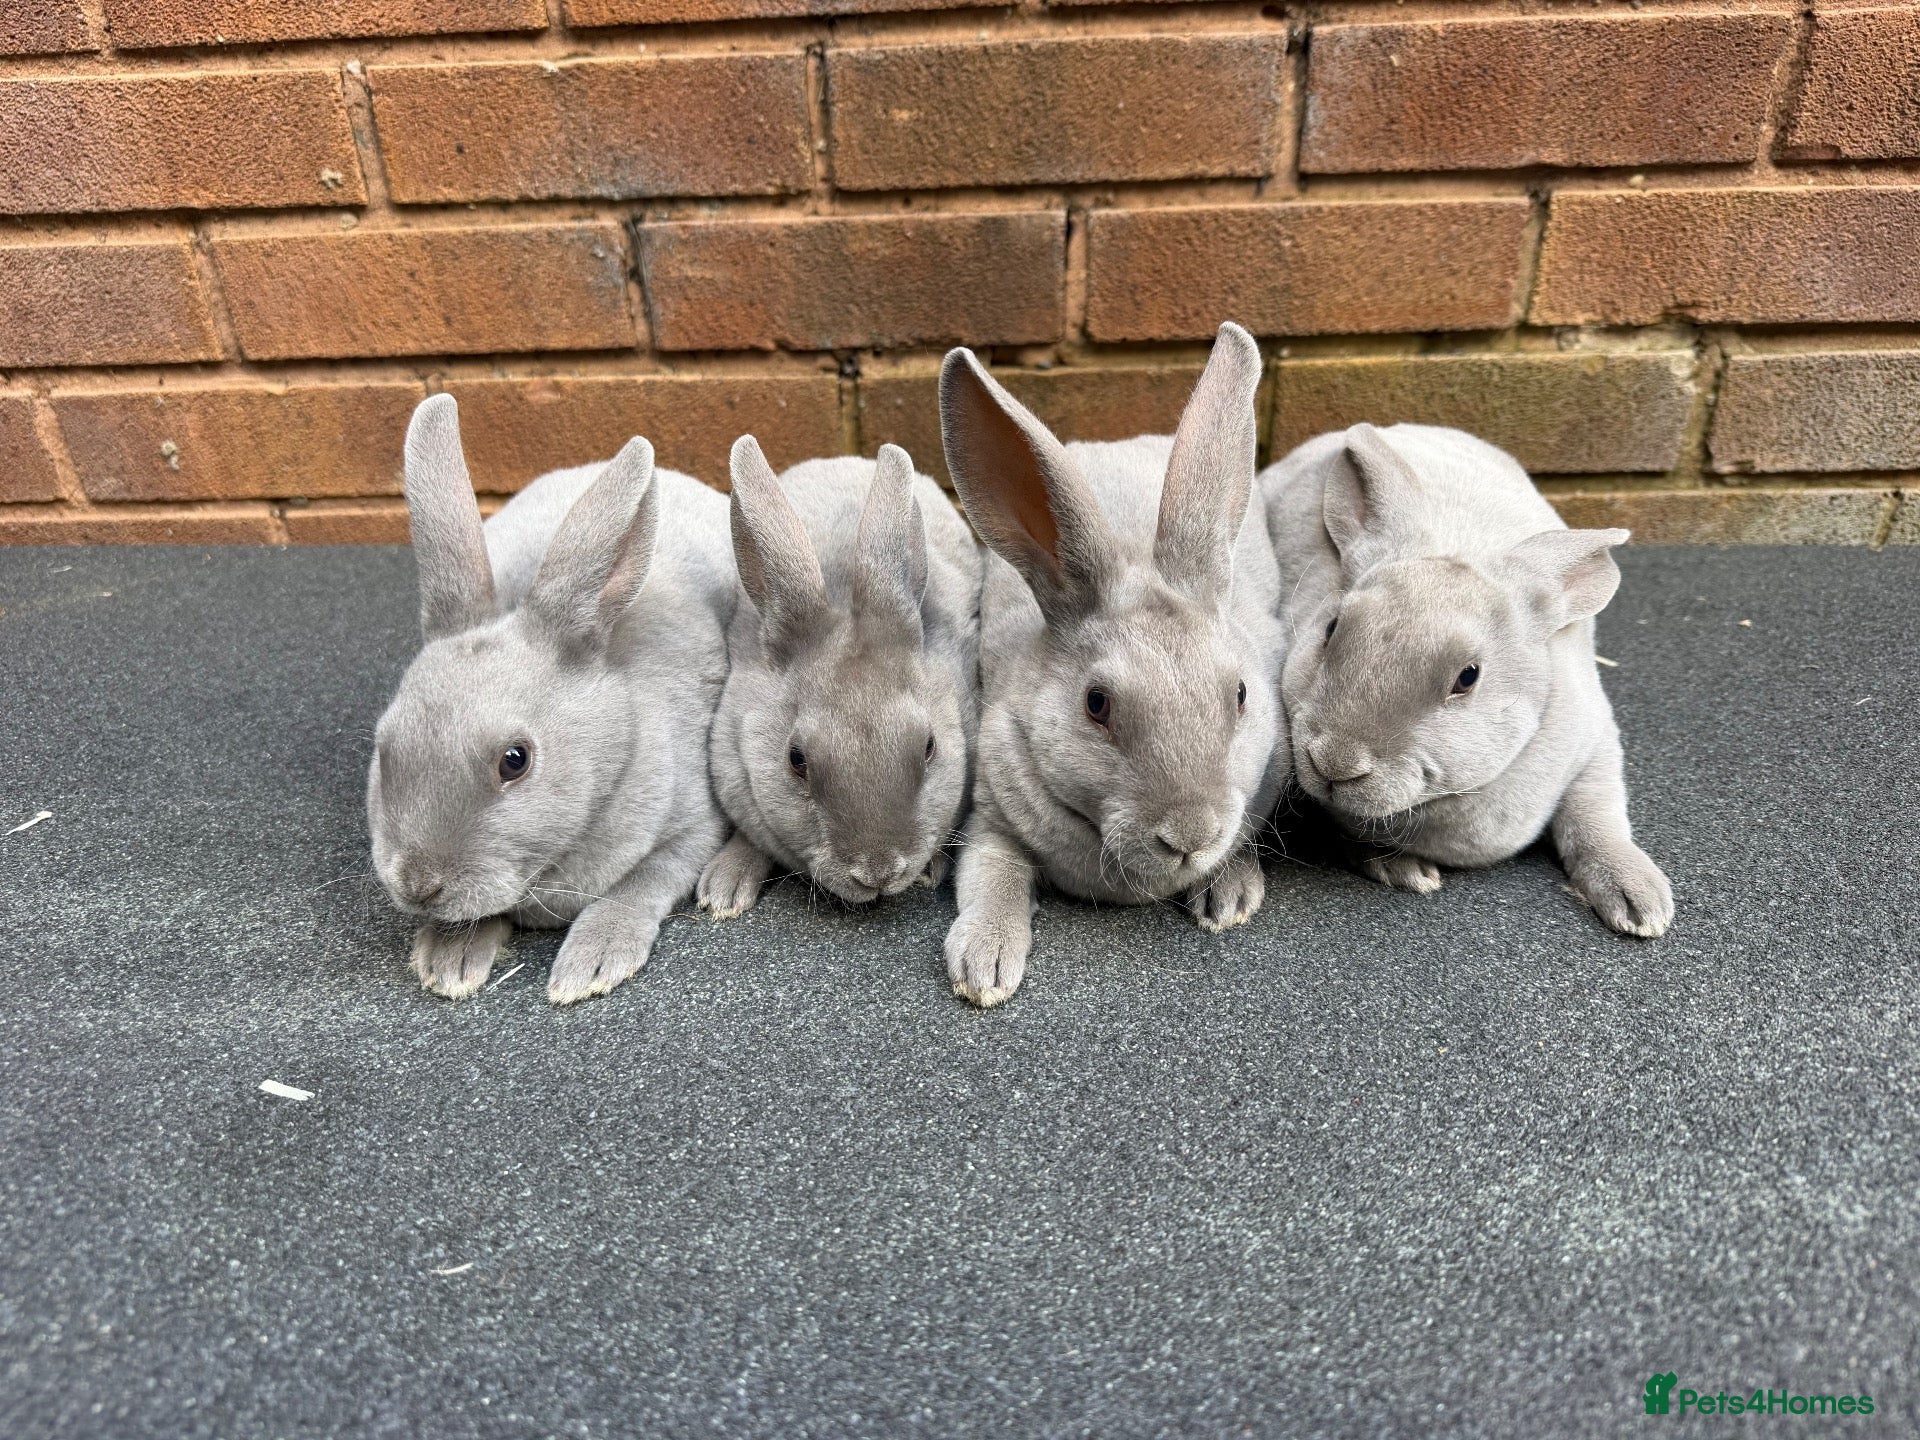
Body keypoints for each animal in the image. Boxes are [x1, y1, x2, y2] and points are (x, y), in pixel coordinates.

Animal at [366, 394, 737, 1005]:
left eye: (515, 761)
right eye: (384, 748)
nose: (418, 886)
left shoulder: (693, 827)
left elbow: (641, 885)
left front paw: (591, 964)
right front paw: (449, 960)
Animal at [937, 321, 1290, 1007]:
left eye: (1240, 694)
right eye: (1095, 704)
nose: (1190, 836)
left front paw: (1229, 895)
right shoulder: (991, 818)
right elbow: (991, 875)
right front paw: (984, 968)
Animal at [1262, 421, 1673, 937]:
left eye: (1468, 677)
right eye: (1331, 628)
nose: (1335, 762)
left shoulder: (1596, 746)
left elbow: (1596, 816)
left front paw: (1641, 903)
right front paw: (1404, 869)